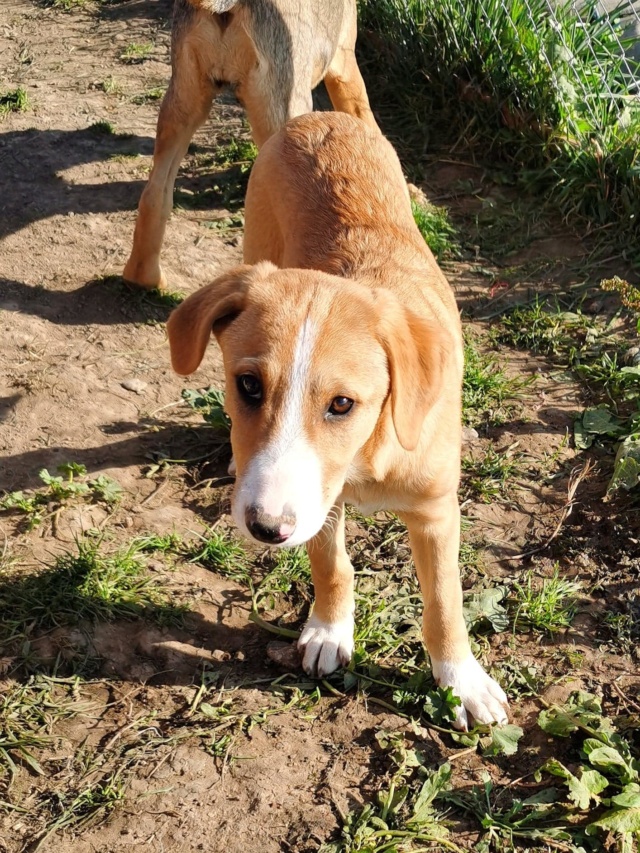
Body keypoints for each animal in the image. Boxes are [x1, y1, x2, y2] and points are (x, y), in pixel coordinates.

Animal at [166, 111, 510, 724]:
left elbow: (445, 601)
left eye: (343, 405)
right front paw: (329, 631)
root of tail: (315, 117)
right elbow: (331, 564)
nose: (264, 528)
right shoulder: (318, 503)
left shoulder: (436, 512)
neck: (368, 453)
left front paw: (462, 680)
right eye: (247, 385)